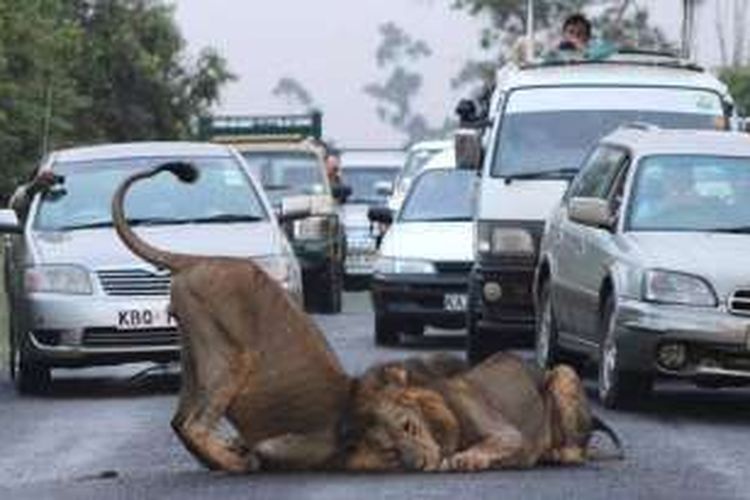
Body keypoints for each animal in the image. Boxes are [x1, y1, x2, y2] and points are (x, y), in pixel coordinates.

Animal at [112, 161, 356, 472]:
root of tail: (200, 260)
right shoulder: (302, 445)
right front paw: (247, 455)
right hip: (232, 356)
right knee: (194, 426)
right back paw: (235, 464)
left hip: (194, 349)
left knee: (179, 421)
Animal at [344, 352, 624, 472]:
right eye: (390, 449)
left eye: (408, 426)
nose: (418, 465)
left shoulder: (508, 434)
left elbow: (492, 443)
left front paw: (466, 458)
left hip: (564, 371)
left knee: (577, 453)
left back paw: (553, 453)